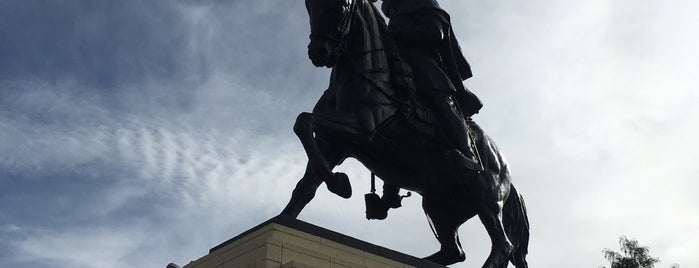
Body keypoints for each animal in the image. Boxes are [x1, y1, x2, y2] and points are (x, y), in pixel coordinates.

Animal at [280, 1, 532, 266]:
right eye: (309, 7)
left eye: (341, 7)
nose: (319, 52)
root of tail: (505, 168)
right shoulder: (334, 143)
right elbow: (307, 178)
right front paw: (292, 212)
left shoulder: (362, 128)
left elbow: (303, 121)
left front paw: (339, 184)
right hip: (437, 205)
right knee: (454, 250)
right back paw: (425, 258)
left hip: (485, 198)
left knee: (503, 245)